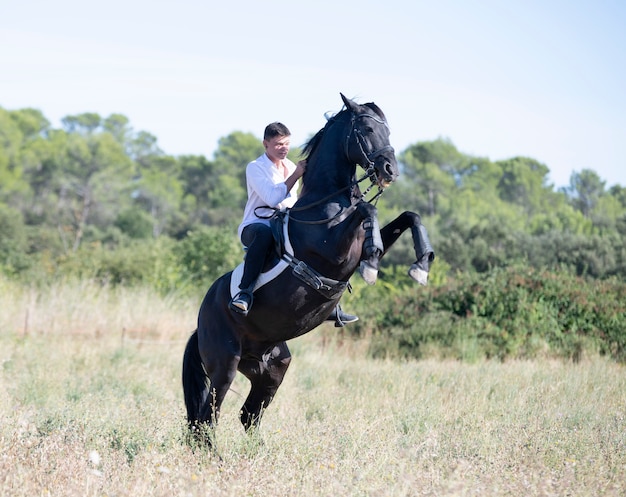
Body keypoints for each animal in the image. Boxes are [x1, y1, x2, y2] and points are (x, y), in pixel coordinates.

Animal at [183, 94, 432, 442]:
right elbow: (367, 210)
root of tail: (201, 320)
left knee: (248, 416)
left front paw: (421, 265)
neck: (328, 200)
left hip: (271, 368)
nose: (390, 170)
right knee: (207, 419)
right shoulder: (333, 250)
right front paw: (372, 263)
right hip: (224, 365)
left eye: (388, 130)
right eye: (367, 129)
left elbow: (409, 216)